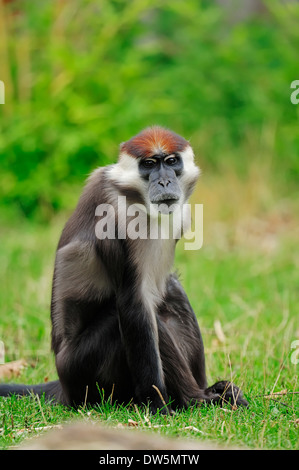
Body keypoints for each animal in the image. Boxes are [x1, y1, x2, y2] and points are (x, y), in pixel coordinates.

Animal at [0, 126, 248, 414]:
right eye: (149, 164)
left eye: (171, 162)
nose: (164, 182)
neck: (137, 198)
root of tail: (64, 385)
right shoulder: (115, 217)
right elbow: (134, 303)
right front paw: (158, 404)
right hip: (82, 371)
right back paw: (194, 398)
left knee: (171, 290)